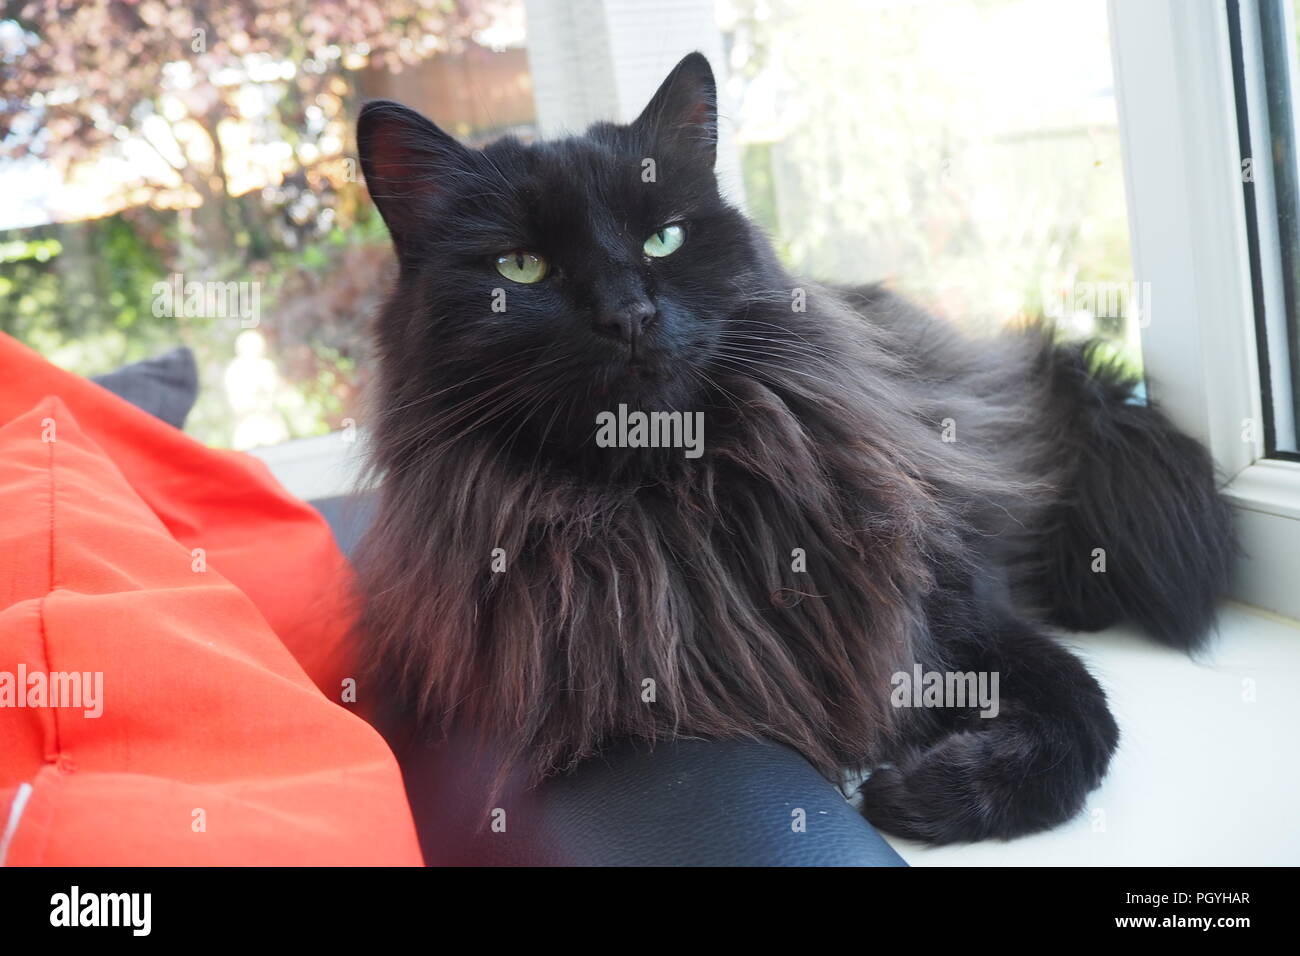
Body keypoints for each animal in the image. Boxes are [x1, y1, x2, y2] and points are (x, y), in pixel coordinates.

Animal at [353, 54, 1227, 842]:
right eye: (522, 266)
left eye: (665, 239)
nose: (628, 314)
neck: (666, 511)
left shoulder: (957, 615)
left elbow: (1085, 717)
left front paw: (918, 796)